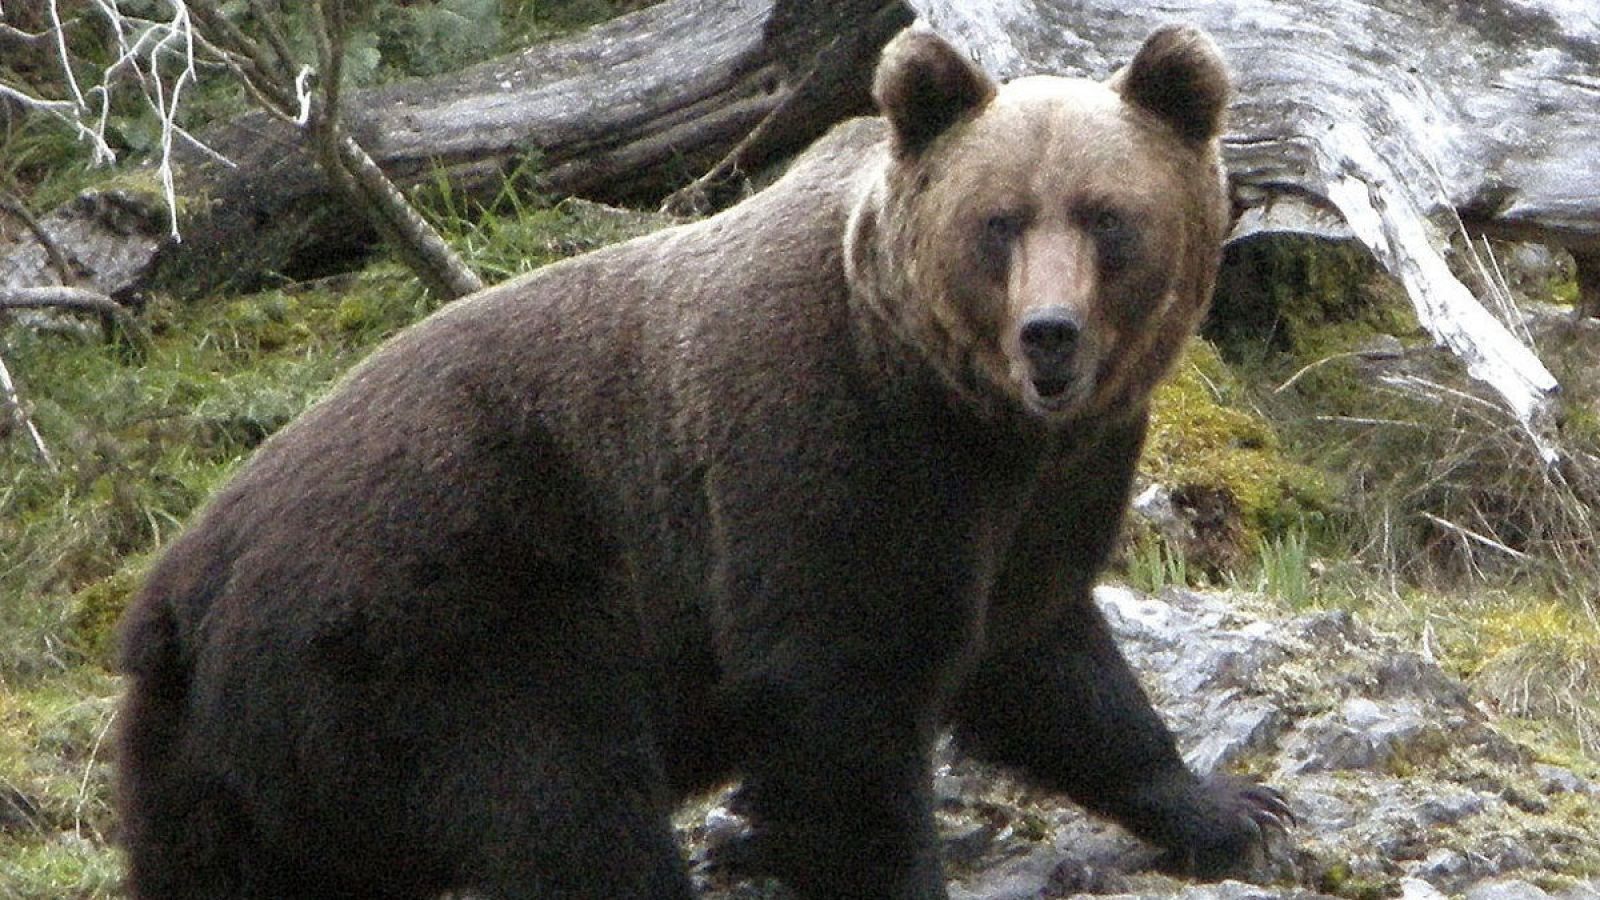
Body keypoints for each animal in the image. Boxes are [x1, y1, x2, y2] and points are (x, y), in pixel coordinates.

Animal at [115, 24, 1290, 900]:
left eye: (1108, 216)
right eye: (999, 221)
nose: (1049, 335)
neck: (965, 413)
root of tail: (179, 586)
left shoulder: (1038, 497)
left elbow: (1046, 657)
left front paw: (1228, 805)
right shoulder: (830, 458)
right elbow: (837, 702)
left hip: (211, 760)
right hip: (449, 625)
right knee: (566, 804)